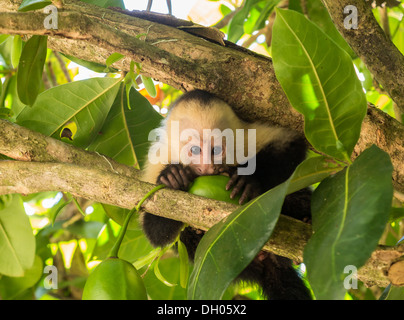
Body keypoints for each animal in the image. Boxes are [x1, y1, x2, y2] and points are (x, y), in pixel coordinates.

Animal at [142, 90, 312, 300]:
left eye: (215, 150)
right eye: (195, 150)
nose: (208, 167)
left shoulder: (245, 138)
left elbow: (289, 143)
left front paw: (247, 180)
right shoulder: (158, 159)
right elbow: (155, 232)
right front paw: (172, 177)